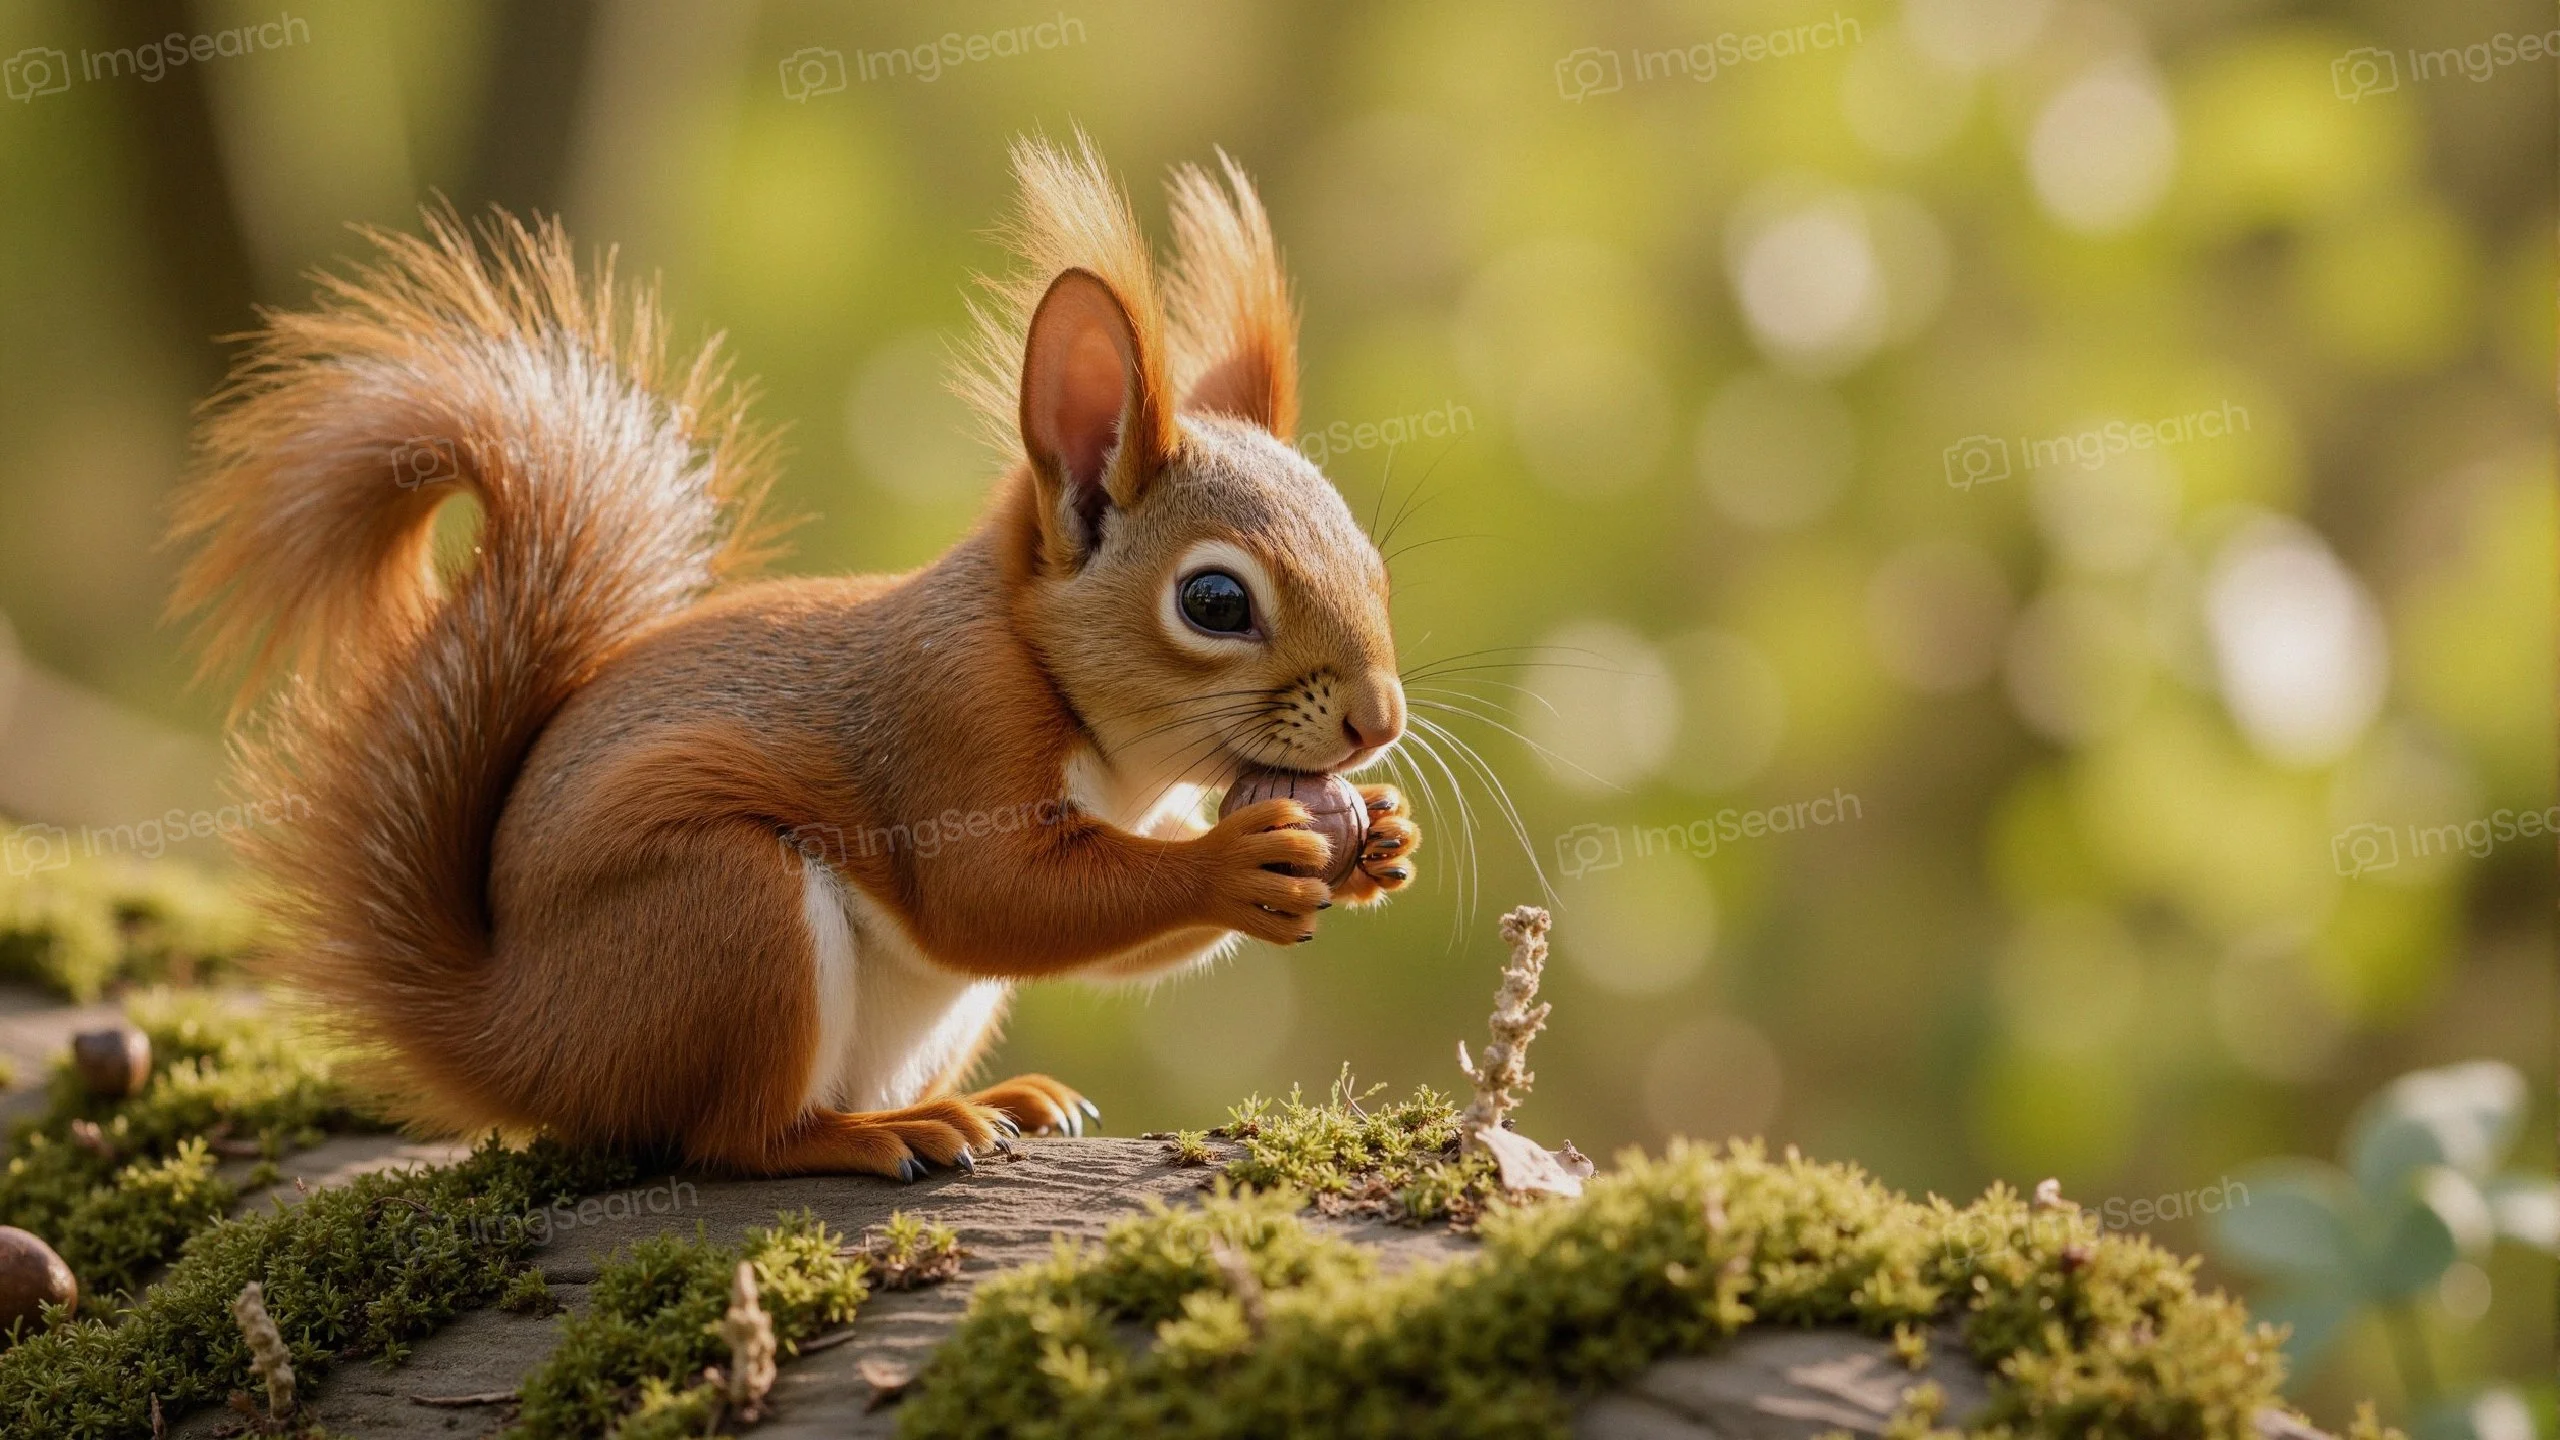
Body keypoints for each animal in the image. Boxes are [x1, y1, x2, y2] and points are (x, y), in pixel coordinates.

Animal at [167, 136, 1419, 1179]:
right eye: (1214, 600)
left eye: (1373, 560)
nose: (1380, 722)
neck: (1097, 730)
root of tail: (518, 1036)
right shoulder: (950, 720)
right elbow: (994, 897)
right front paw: (1236, 863)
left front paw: (1377, 842)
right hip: (726, 912)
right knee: (728, 1140)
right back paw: (873, 1135)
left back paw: (993, 1103)